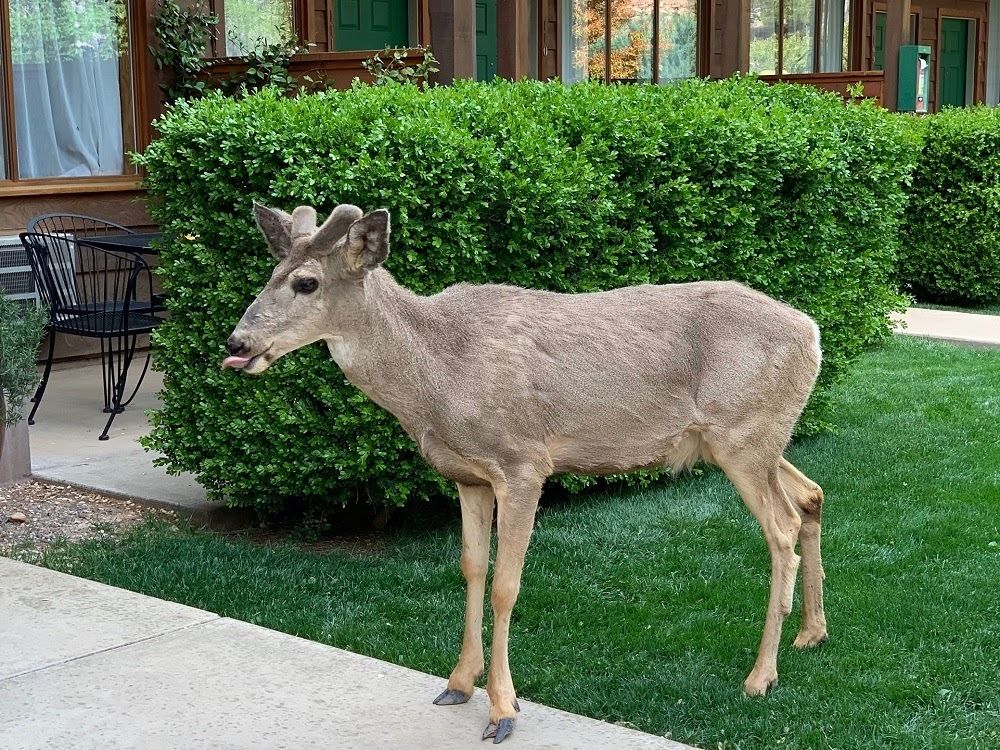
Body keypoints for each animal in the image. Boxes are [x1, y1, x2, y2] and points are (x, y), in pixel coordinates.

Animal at [225, 204, 828, 748]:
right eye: (270, 274)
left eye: (306, 282)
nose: (236, 344)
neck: (436, 374)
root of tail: (813, 331)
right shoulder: (468, 476)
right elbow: (470, 568)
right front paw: (457, 682)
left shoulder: (522, 465)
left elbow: (505, 586)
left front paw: (503, 708)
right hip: (750, 442)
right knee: (811, 497)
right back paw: (811, 634)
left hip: (744, 434)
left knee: (780, 528)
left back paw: (760, 676)